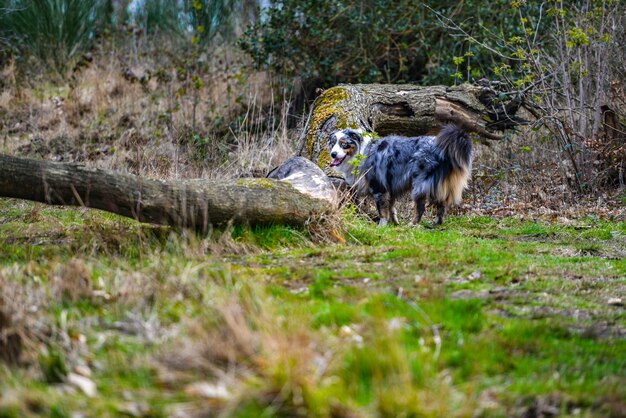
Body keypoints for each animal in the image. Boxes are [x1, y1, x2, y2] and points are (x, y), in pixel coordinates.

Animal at [326, 124, 468, 225]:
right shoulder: (390, 185)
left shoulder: (379, 186)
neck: (362, 152)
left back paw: (412, 225)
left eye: (344, 144)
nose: (333, 154)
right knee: (442, 204)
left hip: (420, 183)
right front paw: (394, 223)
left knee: (421, 207)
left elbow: (382, 210)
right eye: (332, 144)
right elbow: (391, 207)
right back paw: (436, 224)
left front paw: (382, 226)